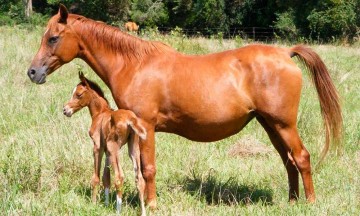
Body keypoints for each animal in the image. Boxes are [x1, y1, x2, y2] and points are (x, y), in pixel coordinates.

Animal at [63, 72, 146, 214]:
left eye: (78, 94)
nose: (65, 110)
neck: (100, 113)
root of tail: (130, 120)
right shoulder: (107, 151)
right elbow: (106, 177)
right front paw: (106, 204)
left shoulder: (98, 147)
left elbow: (96, 177)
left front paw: (93, 204)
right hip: (133, 148)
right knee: (139, 179)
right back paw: (143, 212)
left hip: (114, 148)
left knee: (119, 177)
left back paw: (118, 211)